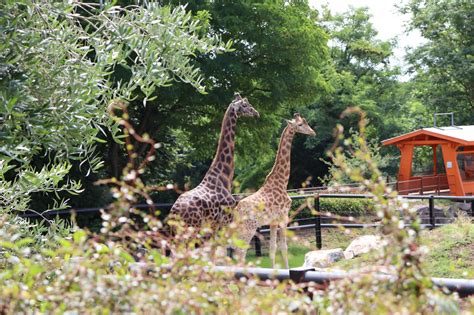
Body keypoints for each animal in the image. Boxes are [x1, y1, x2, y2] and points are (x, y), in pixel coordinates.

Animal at [168, 94, 260, 235]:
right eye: (245, 105)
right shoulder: (226, 219)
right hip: (191, 228)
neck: (224, 177)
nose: (256, 113)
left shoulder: (213, 225)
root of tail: (174, 212)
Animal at [232, 113, 314, 270]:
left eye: (306, 122)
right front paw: (286, 270)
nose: (313, 132)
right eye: (300, 124)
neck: (282, 182)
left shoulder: (273, 221)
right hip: (249, 227)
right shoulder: (283, 217)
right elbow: (283, 247)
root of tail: (237, 210)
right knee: (240, 251)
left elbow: (272, 248)